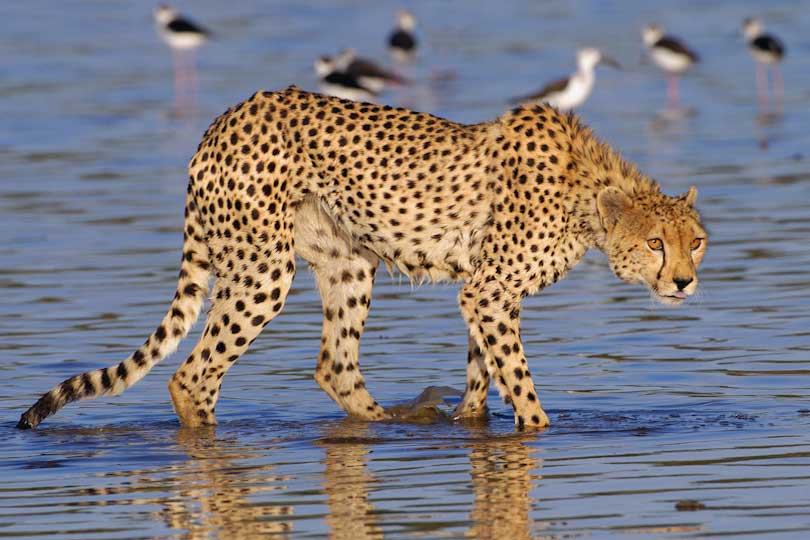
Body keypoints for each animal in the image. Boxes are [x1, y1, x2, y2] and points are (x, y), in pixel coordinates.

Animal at [15, 85, 704, 430]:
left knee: (333, 365)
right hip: (264, 269)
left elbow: (483, 373)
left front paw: (466, 414)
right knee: (193, 376)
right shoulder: (489, 290)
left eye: (694, 241)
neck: (589, 193)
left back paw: (391, 419)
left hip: (349, 262)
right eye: (655, 243)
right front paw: (538, 425)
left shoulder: (482, 291)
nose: (684, 283)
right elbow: (522, 385)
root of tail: (222, 120)